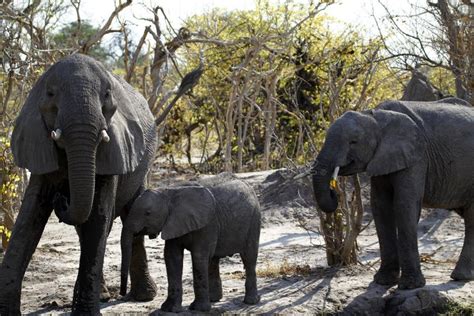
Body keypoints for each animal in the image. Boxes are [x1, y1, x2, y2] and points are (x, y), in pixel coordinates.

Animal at [0, 53, 159, 314]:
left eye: (107, 95)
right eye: (50, 94)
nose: (62, 198)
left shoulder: (114, 148)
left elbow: (98, 219)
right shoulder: (38, 141)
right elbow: (28, 219)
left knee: (131, 214)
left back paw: (143, 296)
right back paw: (107, 295)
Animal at [118, 175, 260, 312]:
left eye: (147, 213)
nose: (122, 294)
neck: (169, 192)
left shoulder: (207, 224)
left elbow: (198, 257)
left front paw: (199, 309)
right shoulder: (173, 223)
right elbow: (172, 257)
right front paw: (169, 309)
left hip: (254, 220)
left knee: (249, 258)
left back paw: (251, 301)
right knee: (213, 260)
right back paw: (214, 299)